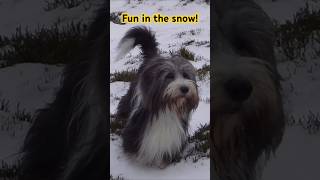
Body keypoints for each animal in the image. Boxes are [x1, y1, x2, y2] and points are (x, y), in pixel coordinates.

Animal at [115, 26, 200, 169]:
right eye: (169, 76)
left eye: (185, 75)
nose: (185, 89)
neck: (167, 107)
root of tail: (152, 58)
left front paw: (162, 162)